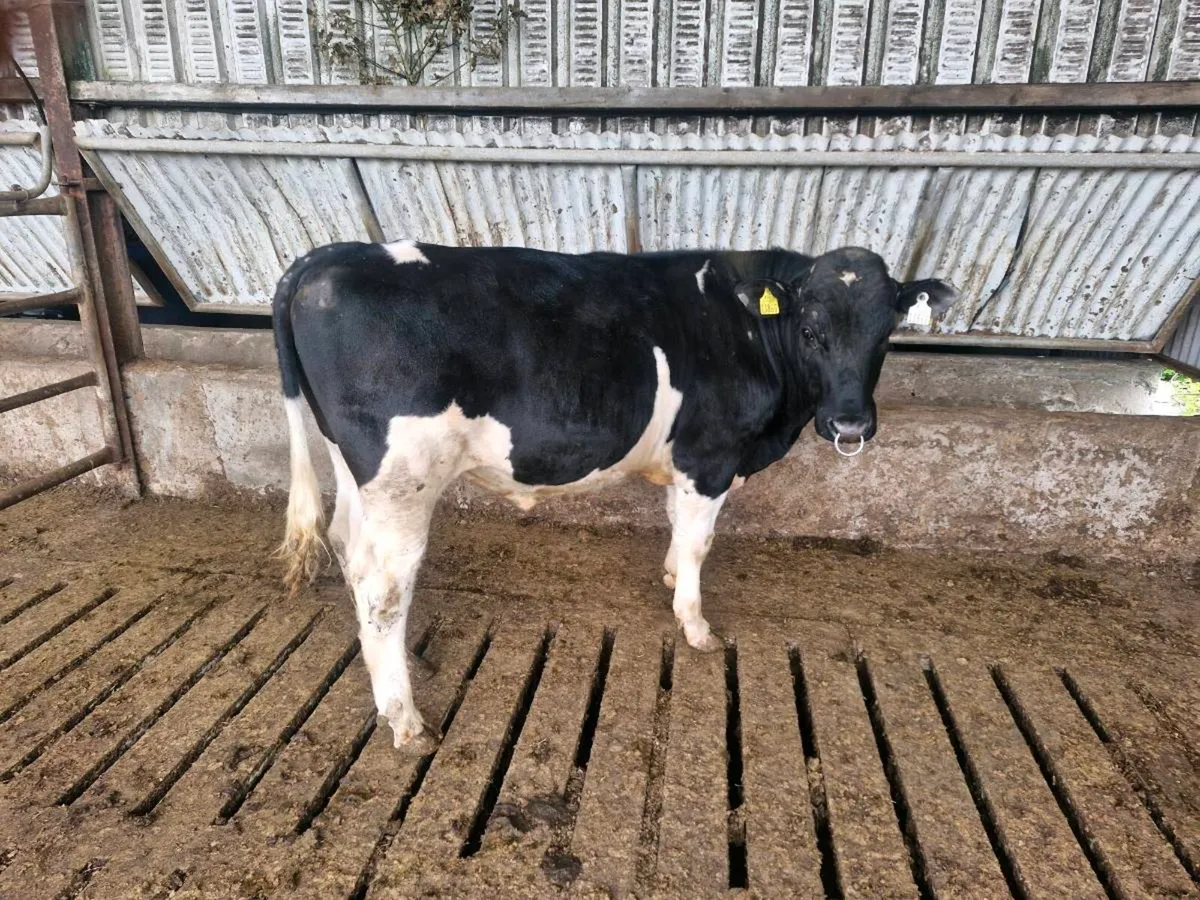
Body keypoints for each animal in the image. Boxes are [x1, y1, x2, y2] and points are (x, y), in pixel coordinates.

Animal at [272, 240, 957, 747]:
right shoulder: (710, 457)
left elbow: (678, 527)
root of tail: (326, 259)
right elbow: (700, 541)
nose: (851, 425)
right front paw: (696, 625)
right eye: (811, 328)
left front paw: (670, 578)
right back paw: (407, 720)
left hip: (357, 472)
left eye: (886, 332)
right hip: (402, 481)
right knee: (384, 593)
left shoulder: (686, 463)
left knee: (350, 551)